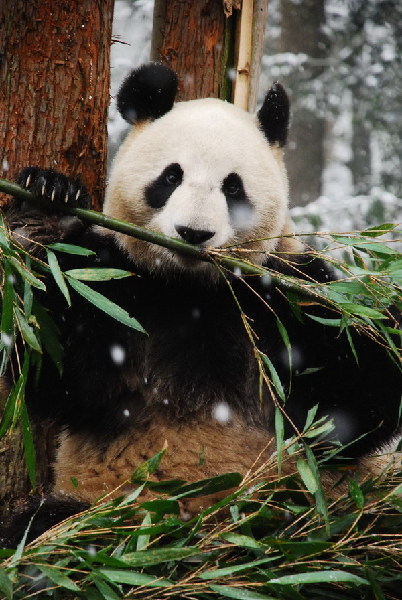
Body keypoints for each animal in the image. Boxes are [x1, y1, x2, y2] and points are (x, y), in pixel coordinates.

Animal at [0, 63, 402, 548]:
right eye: (171, 177)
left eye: (233, 187)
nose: (194, 233)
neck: (191, 289)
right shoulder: (121, 286)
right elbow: (59, 365)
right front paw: (45, 211)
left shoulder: (282, 291)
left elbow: (356, 402)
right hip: (102, 508)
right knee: (43, 534)